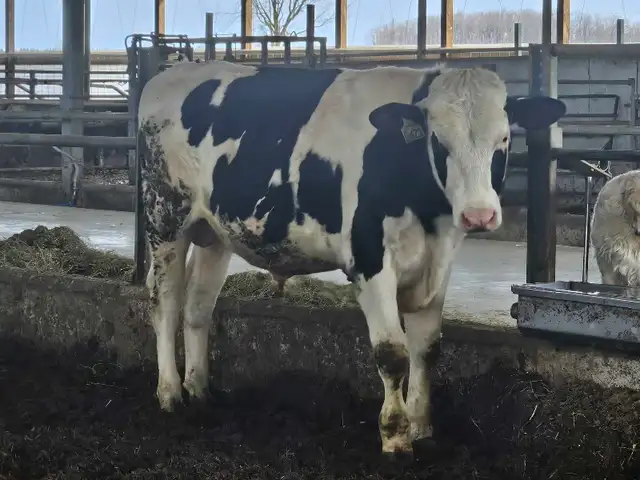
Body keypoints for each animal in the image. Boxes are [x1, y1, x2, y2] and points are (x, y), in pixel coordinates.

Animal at [137, 60, 566, 459]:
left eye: (504, 138)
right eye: (438, 141)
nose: (479, 215)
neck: (428, 213)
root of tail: (168, 75)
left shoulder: (438, 263)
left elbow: (426, 349)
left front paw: (421, 426)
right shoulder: (369, 259)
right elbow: (392, 353)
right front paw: (395, 437)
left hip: (213, 234)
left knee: (198, 306)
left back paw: (199, 390)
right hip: (165, 220)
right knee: (165, 301)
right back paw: (170, 393)